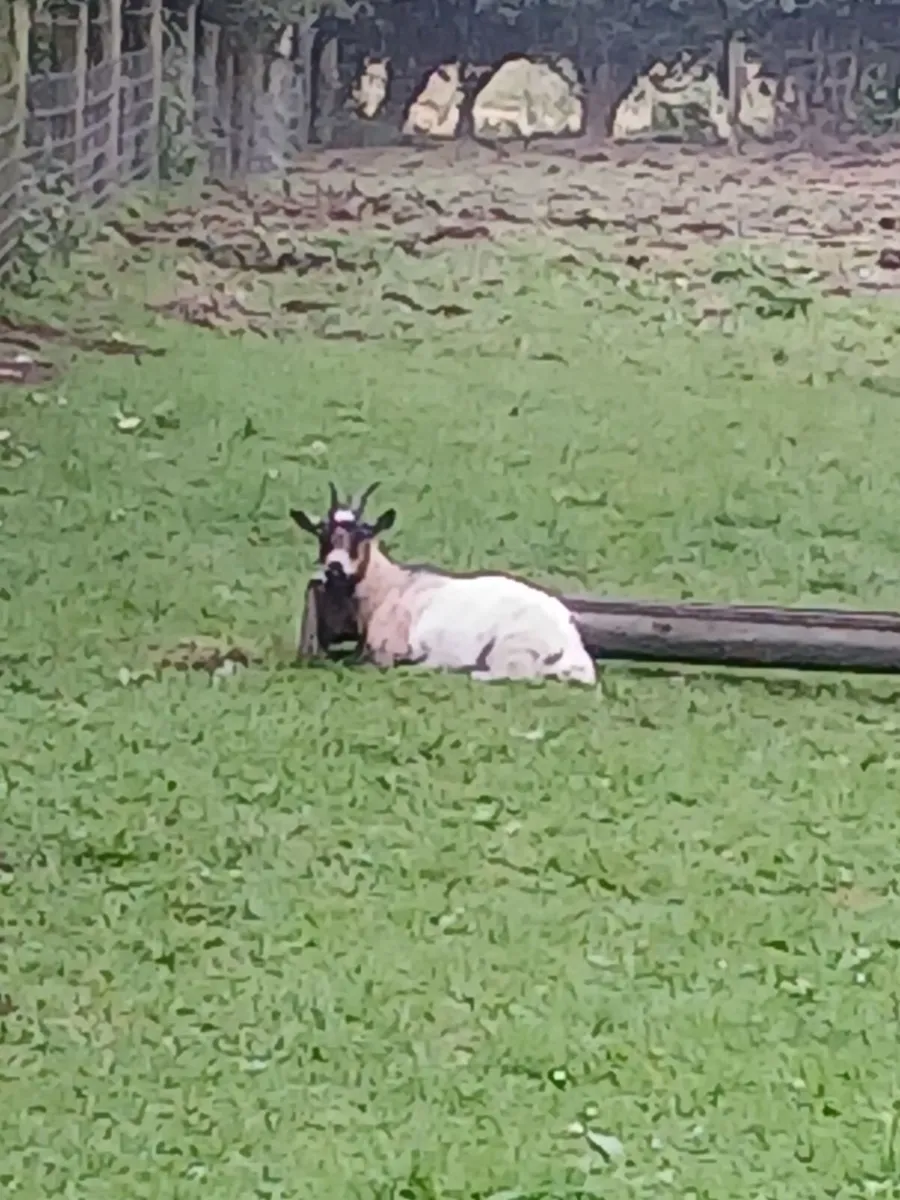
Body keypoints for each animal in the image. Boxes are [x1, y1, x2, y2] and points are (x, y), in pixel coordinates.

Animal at [290, 483, 597, 686]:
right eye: (322, 533)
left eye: (362, 534)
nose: (335, 567)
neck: (391, 586)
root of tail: (568, 643)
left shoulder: (388, 650)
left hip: (509, 649)